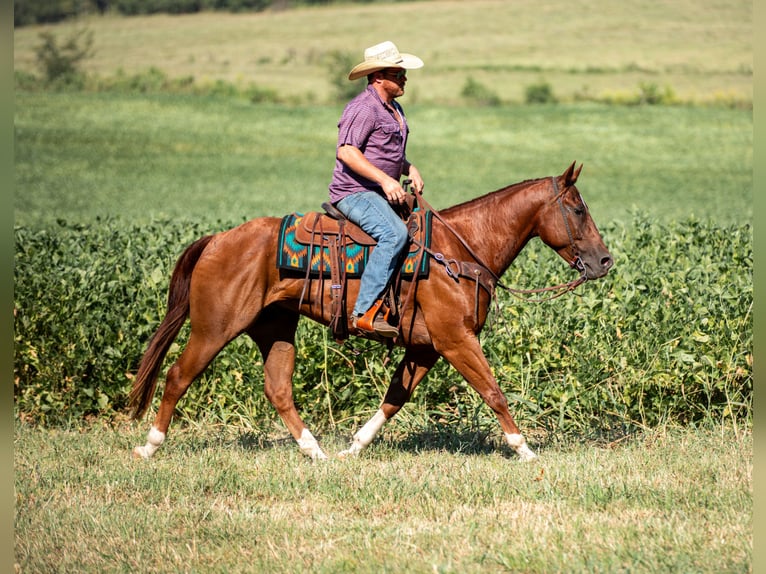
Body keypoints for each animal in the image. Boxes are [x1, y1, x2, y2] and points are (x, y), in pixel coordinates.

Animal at [129, 161, 613, 462]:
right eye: (576, 208)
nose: (605, 261)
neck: (459, 251)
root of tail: (217, 239)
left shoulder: (426, 348)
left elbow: (394, 398)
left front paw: (355, 446)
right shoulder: (456, 340)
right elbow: (493, 392)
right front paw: (524, 449)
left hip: (275, 327)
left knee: (278, 389)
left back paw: (316, 451)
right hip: (214, 328)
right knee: (177, 376)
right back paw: (150, 445)